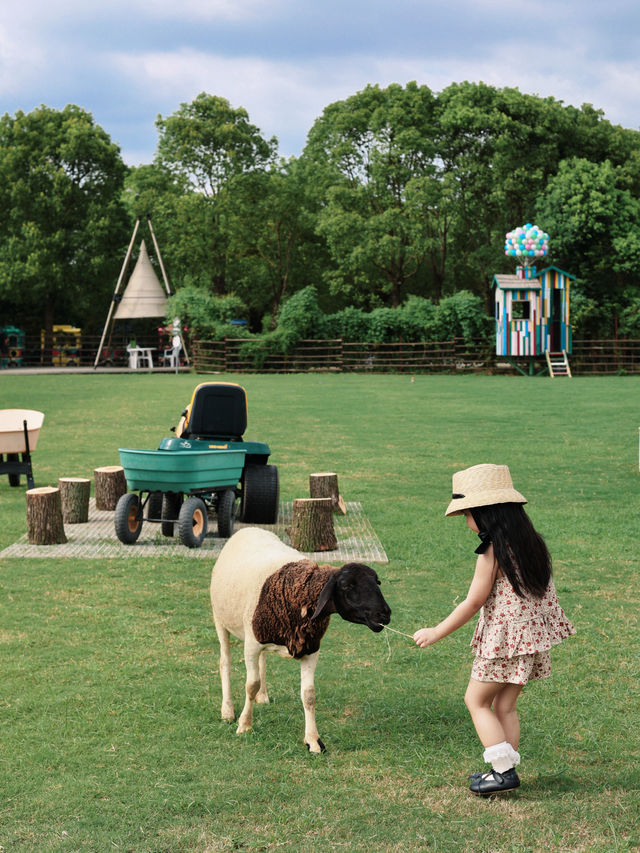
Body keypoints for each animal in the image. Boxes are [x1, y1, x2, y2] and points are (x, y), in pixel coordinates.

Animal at [211, 524, 390, 752]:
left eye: (377, 582)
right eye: (347, 586)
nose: (384, 614)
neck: (299, 589)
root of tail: (250, 528)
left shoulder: (311, 648)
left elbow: (309, 695)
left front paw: (313, 741)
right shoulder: (251, 644)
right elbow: (250, 685)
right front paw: (244, 725)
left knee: (263, 662)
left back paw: (263, 696)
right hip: (220, 620)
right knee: (225, 662)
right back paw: (227, 711)